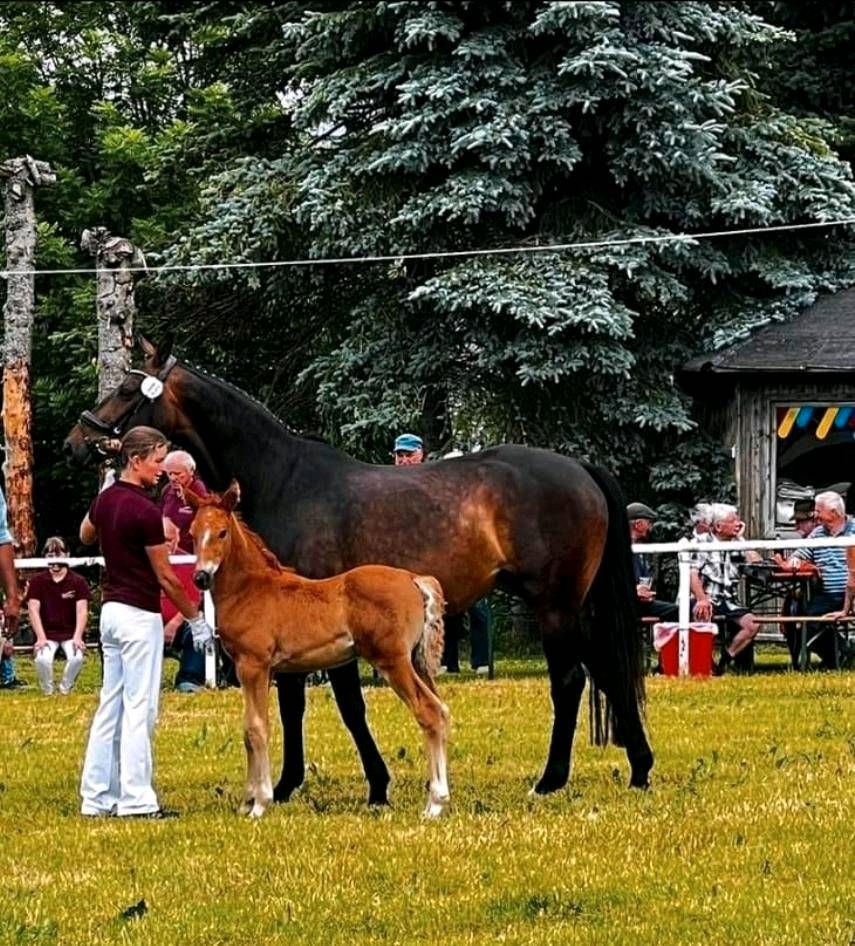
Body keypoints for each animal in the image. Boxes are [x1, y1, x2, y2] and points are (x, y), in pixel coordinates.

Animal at [187, 484, 452, 816]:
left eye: (222, 532)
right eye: (193, 532)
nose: (201, 577)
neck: (250, 589)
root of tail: (413, 579)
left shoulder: (253, 666)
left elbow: (256, 729)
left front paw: (259, 804)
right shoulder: (261, 671)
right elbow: (249, 729)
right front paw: (247, 802)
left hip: (393, 662)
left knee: (428, 711)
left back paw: (434, 805)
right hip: (417, 662)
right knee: (441, 710)